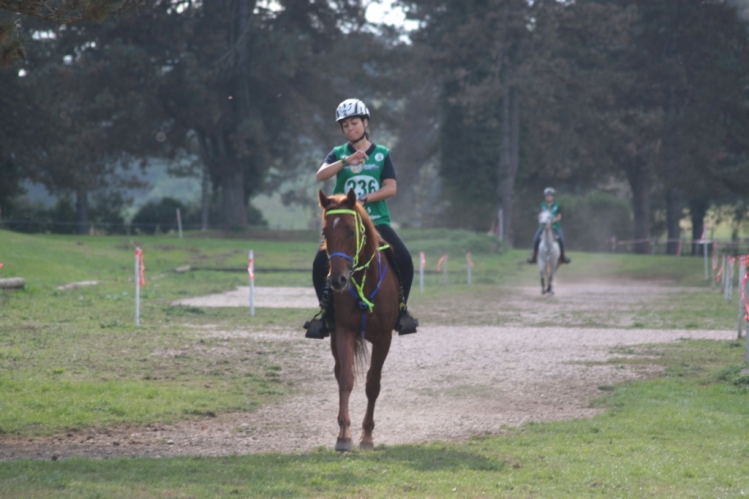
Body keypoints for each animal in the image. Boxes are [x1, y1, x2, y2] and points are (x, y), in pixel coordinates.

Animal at [316, 188, 400, 454]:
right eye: (325, 232)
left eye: (351, 231)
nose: (337, 280)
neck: (365, 278)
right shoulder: (344, 331)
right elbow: (346, 379)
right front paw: (344, 436)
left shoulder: (384, 337)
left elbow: (373, 384)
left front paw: (367, 437)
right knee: (339, 372)